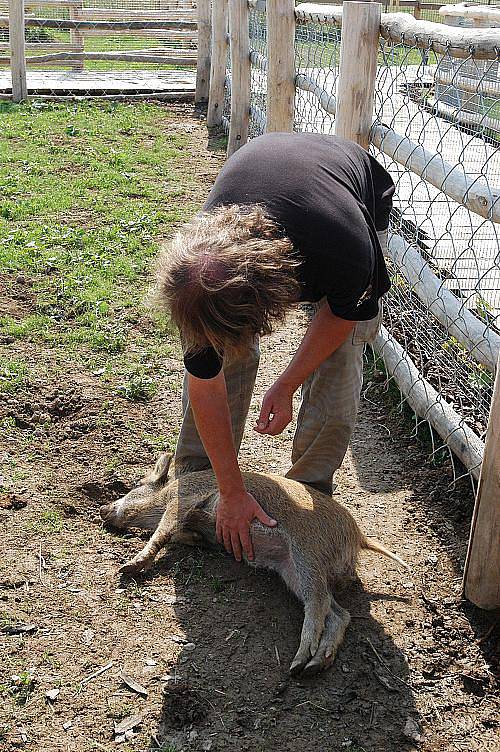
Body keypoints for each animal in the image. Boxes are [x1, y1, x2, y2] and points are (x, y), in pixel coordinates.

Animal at [100, 456, 406, 680]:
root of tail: (359, 536)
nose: (102, 509)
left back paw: (297, 665)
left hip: (308, 555)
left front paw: (127, 568)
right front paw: (196, 539)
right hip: (293, 572)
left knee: (318, 605)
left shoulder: (182, 498)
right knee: (340, 614)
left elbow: (162, 533)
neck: (164, 496)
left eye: (137, 483)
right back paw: (313, 666)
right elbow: (180, 535)